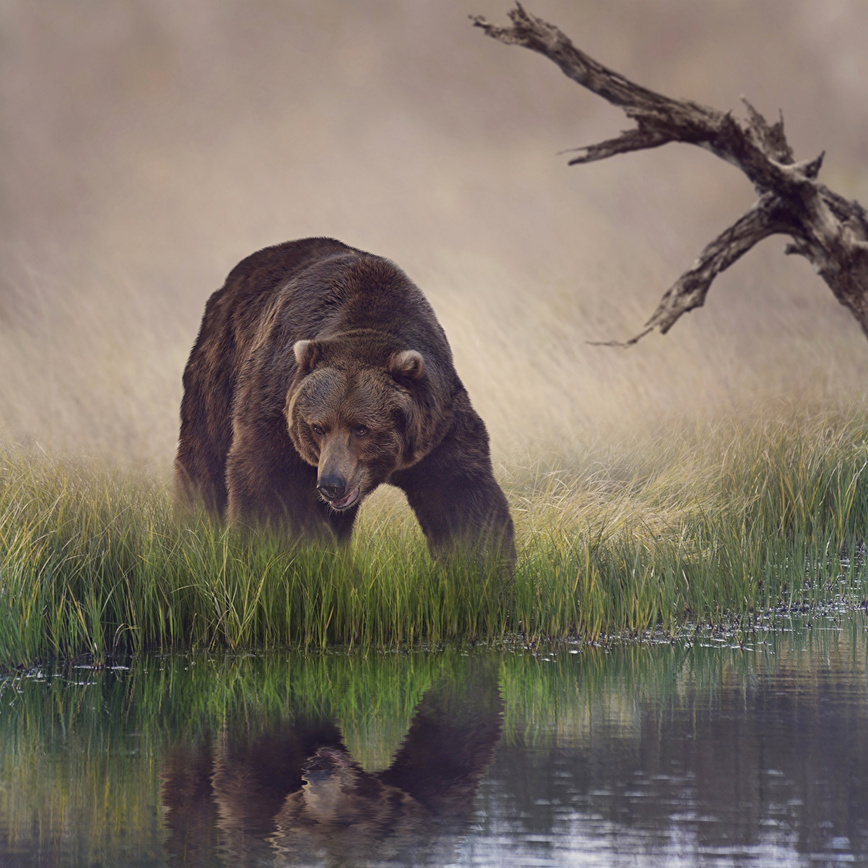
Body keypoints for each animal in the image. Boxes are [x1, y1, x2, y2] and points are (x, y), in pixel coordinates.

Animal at [176, 237, 516, 568]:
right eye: (317, 427)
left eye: (362, 428)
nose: (331, 484)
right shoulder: (277, 407)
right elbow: (265, 483)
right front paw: (262, 552)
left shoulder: (437, 426)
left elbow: (462, 496)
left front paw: (479, 569)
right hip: (220, 367)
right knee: (204, 457)